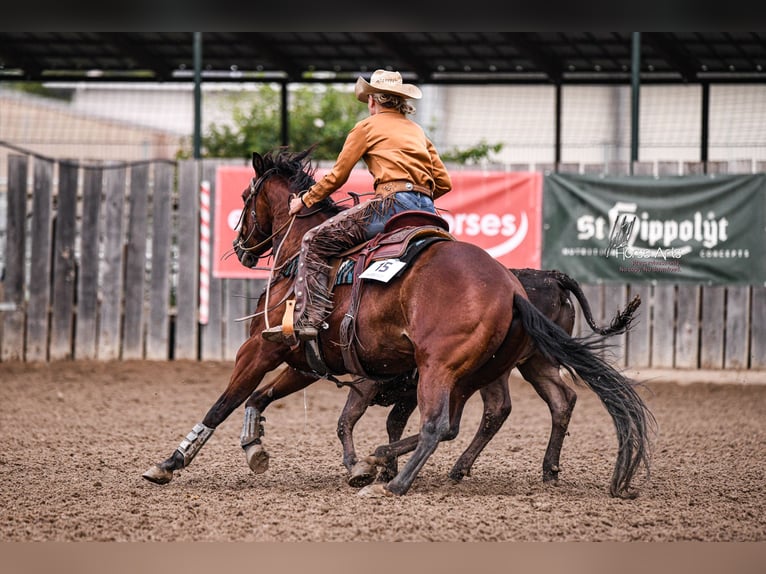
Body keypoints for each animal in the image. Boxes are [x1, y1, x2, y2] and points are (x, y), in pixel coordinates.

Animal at [335, 268, 642, 488]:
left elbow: (349, 419)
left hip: (497, 370)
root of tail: (551, 276)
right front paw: (387, 469)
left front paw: (364, 466)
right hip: (537, 362)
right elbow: (392, 422)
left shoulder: (373, 382)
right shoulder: (411, 388)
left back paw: (457, 467)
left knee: (495, 409)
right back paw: (549, 469)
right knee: (560, 400)